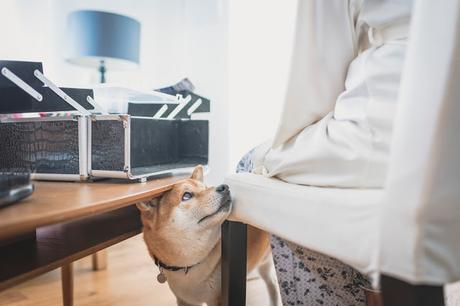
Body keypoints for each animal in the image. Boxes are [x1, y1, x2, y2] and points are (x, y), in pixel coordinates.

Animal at [137, 166, 278, 304]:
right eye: (186, 195)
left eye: (205, 187)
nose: (224, 187)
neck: (188, 267)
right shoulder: (184, 300)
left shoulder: (217, 300)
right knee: (273, 283)